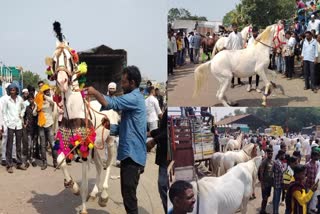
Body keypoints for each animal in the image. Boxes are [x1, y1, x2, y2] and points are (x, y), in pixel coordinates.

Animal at [47, 21, 121, 214]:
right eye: (54, 60)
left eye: (69, 58)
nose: (62, 82)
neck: (74, 111)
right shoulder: (69, 144)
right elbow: (61, 161)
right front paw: (71, 185)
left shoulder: (84, 149)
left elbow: (85, 182)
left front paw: (84, 207)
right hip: (95, 146)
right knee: (99, 166)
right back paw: (95, 193)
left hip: (110, 141)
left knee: (108, 164)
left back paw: (103, 195)